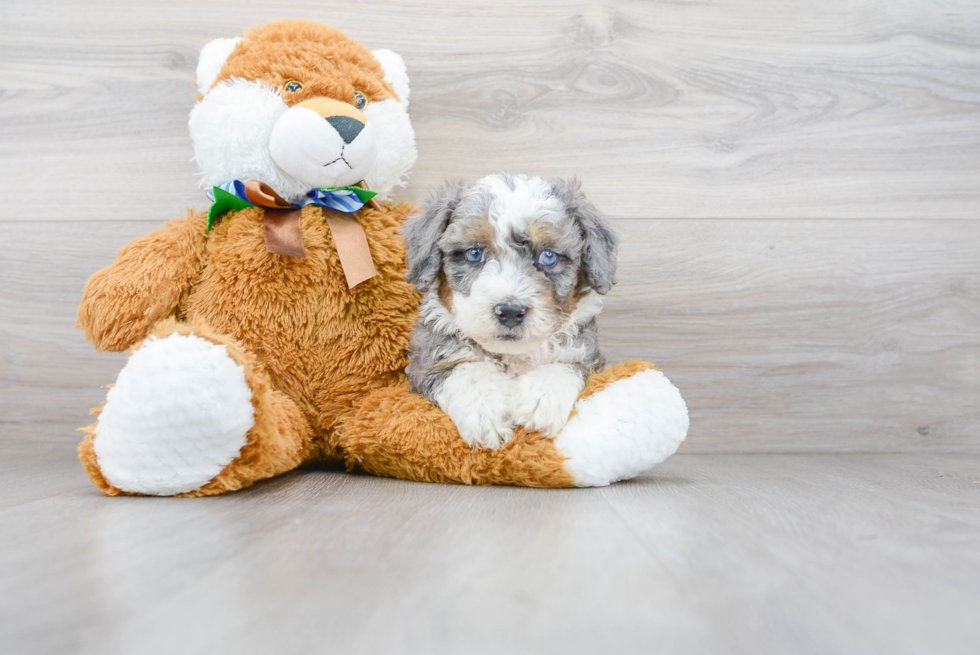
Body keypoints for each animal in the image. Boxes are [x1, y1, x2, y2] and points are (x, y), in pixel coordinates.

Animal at [402, 173, 616, 452]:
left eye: (548, 256)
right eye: (474, 254)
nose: (511, 311)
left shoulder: (592, 358)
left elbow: (565, 362)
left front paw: (540, 399)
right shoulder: (425, 361)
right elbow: (466, 370)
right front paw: (486, 412)